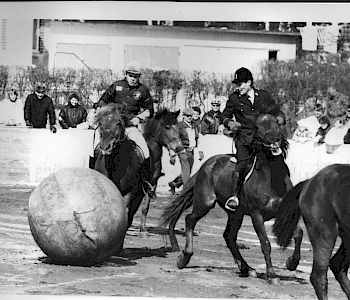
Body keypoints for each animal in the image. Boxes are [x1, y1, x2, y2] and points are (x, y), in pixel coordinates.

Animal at [159, 112, 304, 284]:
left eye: (276, 122)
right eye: (257, 127)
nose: (272, 139)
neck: (271, 178)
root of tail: (208, 163)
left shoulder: (285, 211)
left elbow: (298, 234)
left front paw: (291, 263)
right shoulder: (256, 215)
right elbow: (265, 243)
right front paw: (272, 275)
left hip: (236, 214)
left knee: (229, 236)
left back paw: (247, 268)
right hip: (205, 202)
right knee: (190, 220)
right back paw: (184, 258)